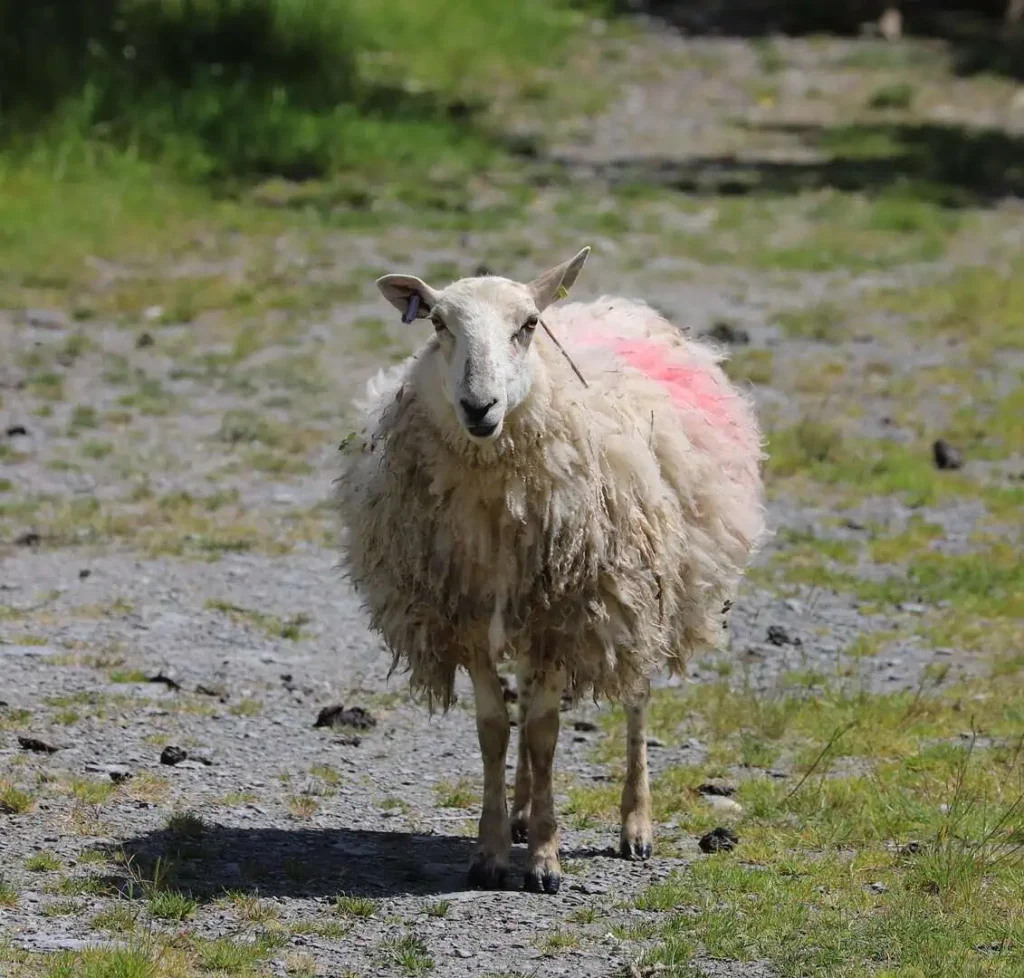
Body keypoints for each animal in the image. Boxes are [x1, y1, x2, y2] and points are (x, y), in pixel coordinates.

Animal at [335, 247, 766, 894]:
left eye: (528, 325)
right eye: (438, 323)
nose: (479, 407)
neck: (496, 494)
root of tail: (620, 307)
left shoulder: (569, 611)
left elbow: (544, 733)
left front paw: (545, 859)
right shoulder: (467, 614)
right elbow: (496, 728)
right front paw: (491, 851)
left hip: (642, 594)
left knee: (635, 698)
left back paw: (635, 826)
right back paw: (518, 813)